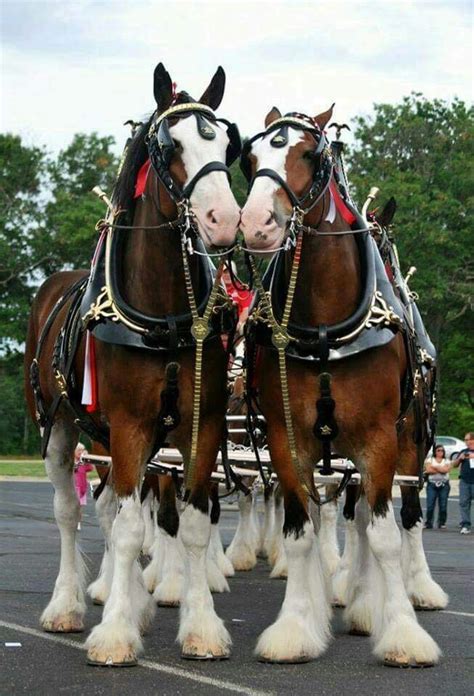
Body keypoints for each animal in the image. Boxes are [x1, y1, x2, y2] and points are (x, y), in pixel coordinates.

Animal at [25, 64, 241, 664]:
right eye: (170, 147)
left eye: (226, 144)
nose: (223, 219)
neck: (164, 313)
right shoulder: (127, 425)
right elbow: (126, 532)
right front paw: (116, 633)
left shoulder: (200, 424)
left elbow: (191, 526)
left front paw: (201, 627)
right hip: (61, 425)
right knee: (72, 513)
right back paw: (69, 605)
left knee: (113, 507)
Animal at [241, 106, 440, 668]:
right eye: (249, 157)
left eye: (310, 154)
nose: (256, 224)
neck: (326, 327)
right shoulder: (288, 438)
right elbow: (301, 532)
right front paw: (295, 627)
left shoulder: (378, 439)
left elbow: (385, 535)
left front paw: (402, 633)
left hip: (408, 444)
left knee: (401, 518)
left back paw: (400, 593)